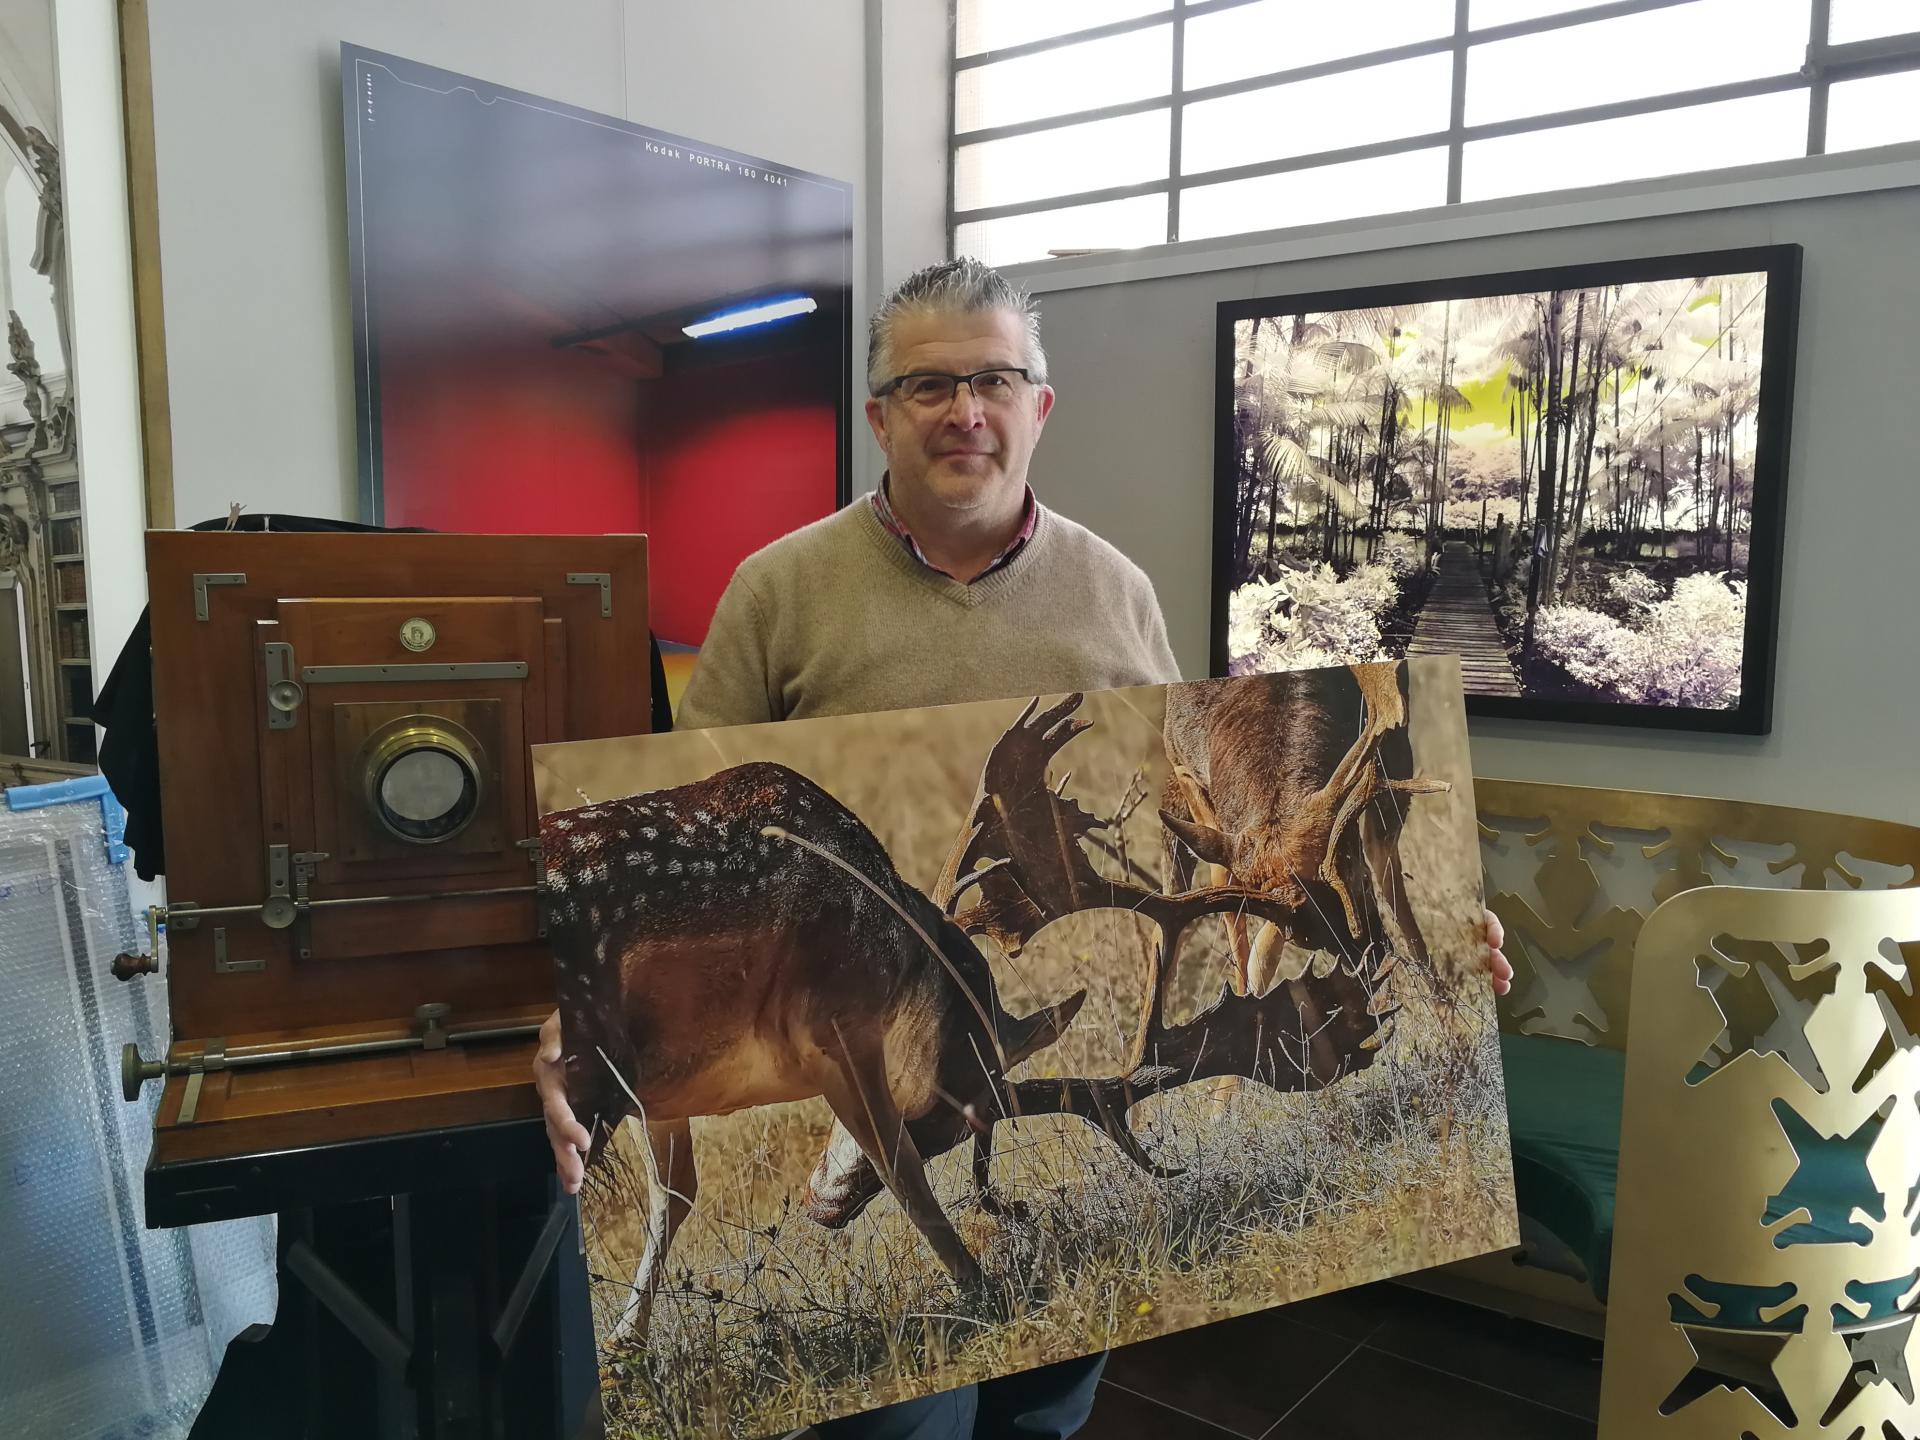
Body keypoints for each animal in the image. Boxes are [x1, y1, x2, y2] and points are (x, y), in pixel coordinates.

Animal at [545, 768, 1082, 1344]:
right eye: (950, 1118)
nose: (824, 1208)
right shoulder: (840, 1026)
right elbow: (900, 1165)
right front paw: (984, 1291)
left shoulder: (657, 1093)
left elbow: (676, 1191)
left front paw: (626, 1342)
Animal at [1152, 664, 1443, 1006]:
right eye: (1300, 938)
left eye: (1361, 878)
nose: (1372, 960)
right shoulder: (1183, 768)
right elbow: (1228, 895)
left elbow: (1387, 869)